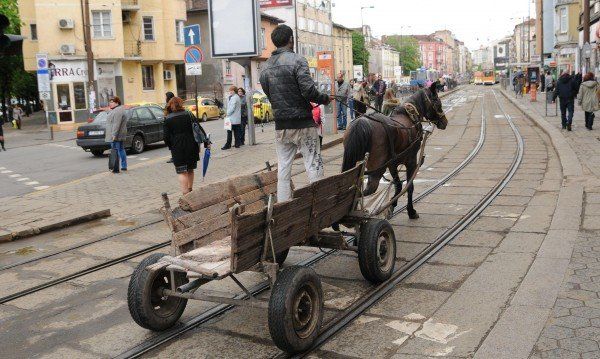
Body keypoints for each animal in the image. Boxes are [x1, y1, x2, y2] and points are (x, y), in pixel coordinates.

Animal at [344, 82, 448, 219]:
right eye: (438, 102)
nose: (445, 122)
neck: (409, 116)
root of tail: (361, 122)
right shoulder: (411, 161)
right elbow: (409, 186)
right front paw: (411, 211)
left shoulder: (392, 164)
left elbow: (398, 185)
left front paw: (392, 205)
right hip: (377, 169)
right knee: (365, 191)